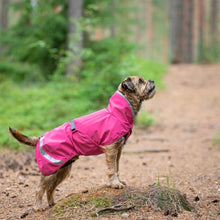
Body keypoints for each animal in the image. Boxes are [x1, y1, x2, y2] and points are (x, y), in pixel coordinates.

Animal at [9, 76, 156, 210]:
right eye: (140, 81)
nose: (152, 81)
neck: (116, 113)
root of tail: (40, 138)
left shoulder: (118, 150)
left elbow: (117, 168)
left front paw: (119, 181)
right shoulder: (111, 149)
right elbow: (112, 169)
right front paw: (115, 184)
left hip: (63, 169)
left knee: (50, 188)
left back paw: (52, 203)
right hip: (50, 170)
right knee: (39, 189)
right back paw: (38, 206)